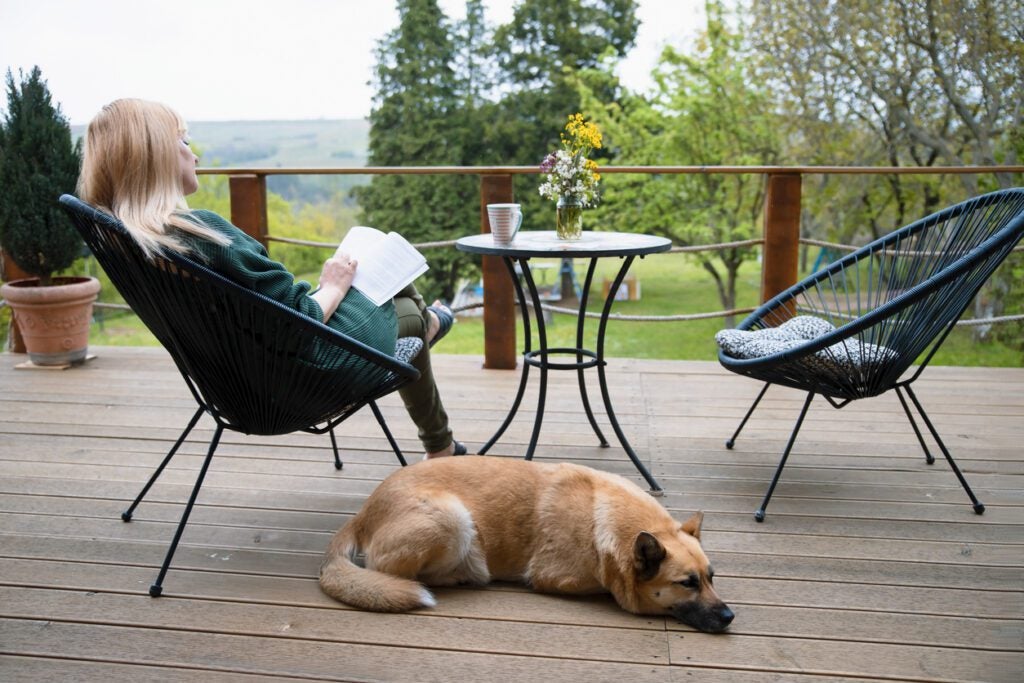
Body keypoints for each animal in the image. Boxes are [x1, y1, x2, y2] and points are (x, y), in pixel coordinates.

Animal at [319, 456, 737, 634]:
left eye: (711, 578)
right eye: (688, 584)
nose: (730, 616)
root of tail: (363, 511)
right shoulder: (557, 577)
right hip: (452, 520)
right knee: (390, 574)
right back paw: (463, 575)